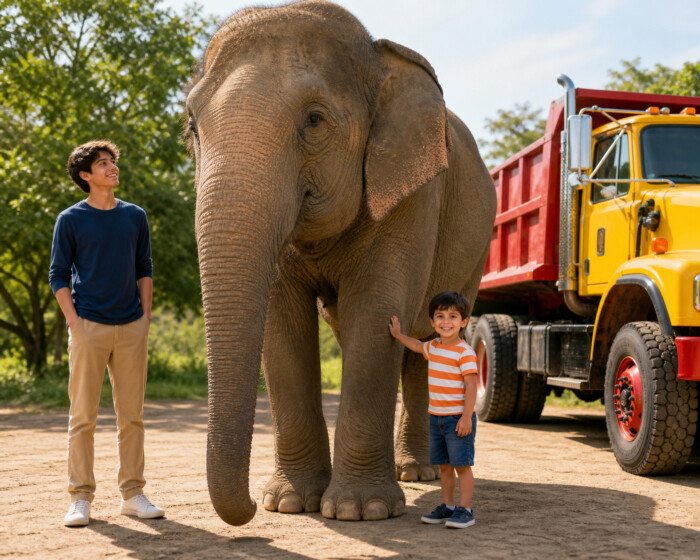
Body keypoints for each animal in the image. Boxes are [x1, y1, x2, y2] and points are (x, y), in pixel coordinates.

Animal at [185, 0, 496, 526]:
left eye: (314, 120)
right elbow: (283, 323)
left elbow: (376, 312)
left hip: (475, 252)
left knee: (426, 337)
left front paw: (360, 511)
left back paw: (419, 475)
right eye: (190, 126)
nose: (247, 509)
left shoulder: (412, 191)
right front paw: (289, 503)